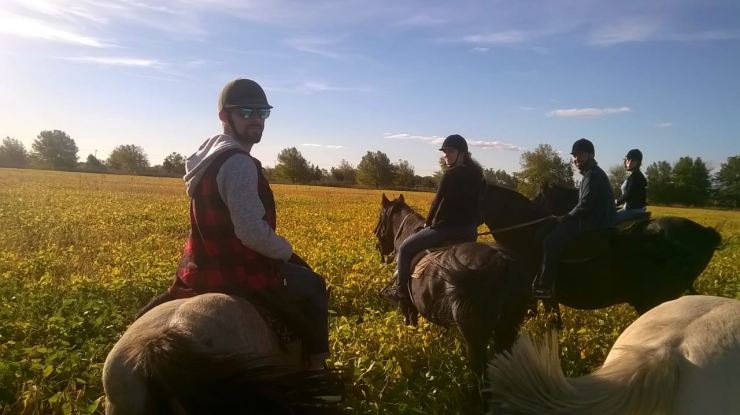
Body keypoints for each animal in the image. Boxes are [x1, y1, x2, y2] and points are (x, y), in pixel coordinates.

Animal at [373, 194, 530, 376]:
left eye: (380, 215)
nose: (376, 240)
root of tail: (500, 261)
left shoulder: (408, 307)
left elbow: (411, 326)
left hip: (475, 336)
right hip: (508, 329)